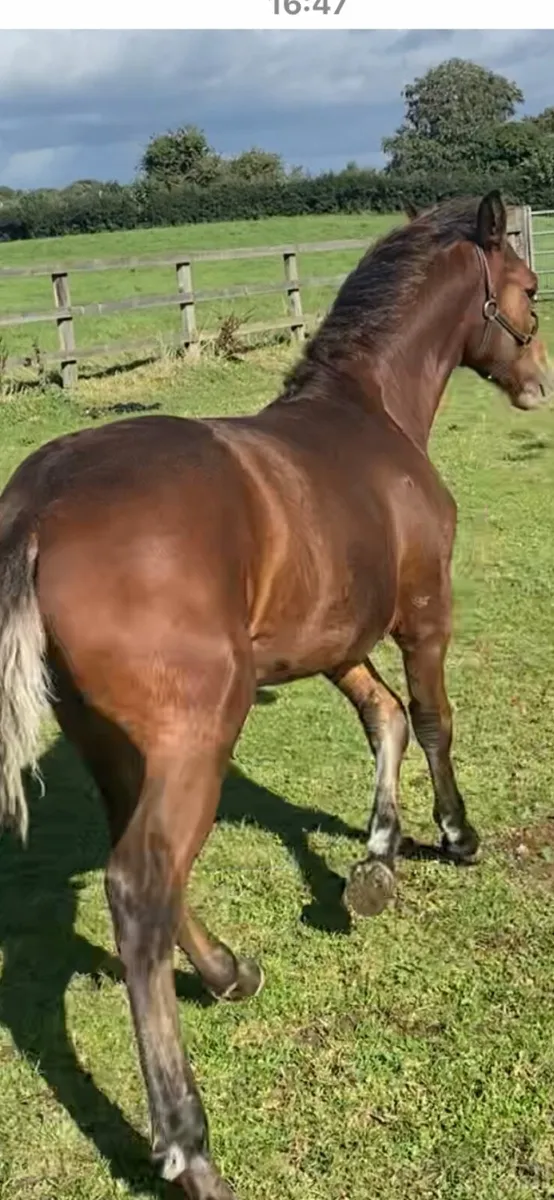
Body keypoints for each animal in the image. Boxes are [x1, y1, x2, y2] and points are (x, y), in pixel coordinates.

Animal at [0, 190, 551, 1200]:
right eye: (527, 285)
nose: (538, 381)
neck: (372, 416)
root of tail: (37, 508)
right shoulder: (423, 614)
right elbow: (432, 718)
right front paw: (455, 838)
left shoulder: (331, 639)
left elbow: (382, 719)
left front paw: (376, 863)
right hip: (197, 736)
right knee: (140, 885)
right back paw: (189, 1146)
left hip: (112, 740)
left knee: (144, 868)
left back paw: (227, 974)